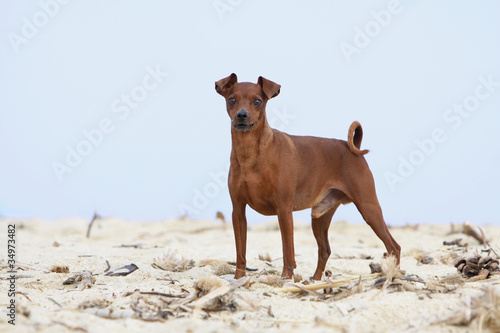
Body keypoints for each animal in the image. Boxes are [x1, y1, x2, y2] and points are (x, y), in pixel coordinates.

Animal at [216, 74, 402, 278]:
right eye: (231, 100)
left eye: (257, 101)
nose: (241, 115)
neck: (251, 154)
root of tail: (351, 147)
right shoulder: (238, 211)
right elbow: (240, 253)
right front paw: (238, 279)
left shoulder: (284, 210)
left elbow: (287, 252)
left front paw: (286, 279)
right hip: (320, 217)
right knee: (325, 250)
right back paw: (315, 280)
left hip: (369, 208)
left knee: (394, 246)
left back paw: (392, 276)